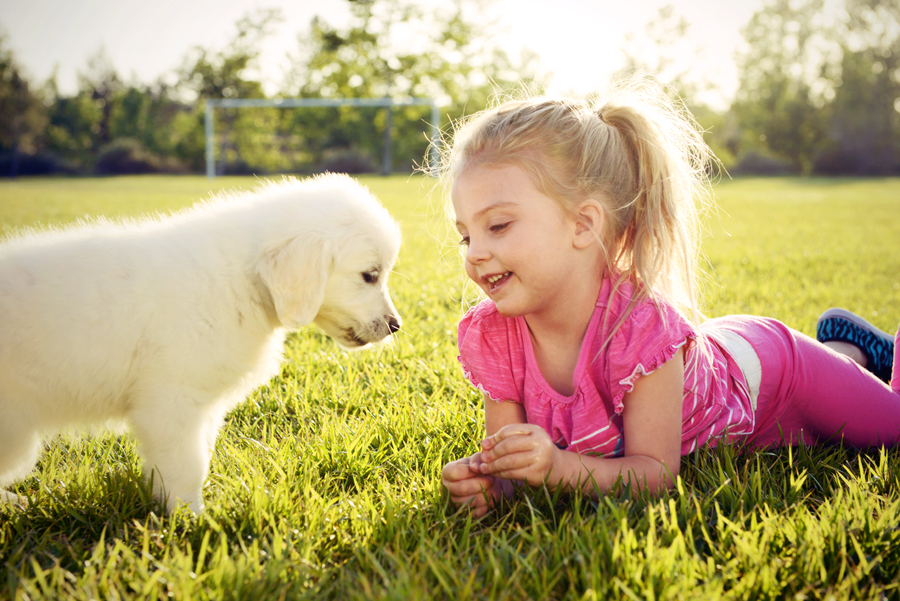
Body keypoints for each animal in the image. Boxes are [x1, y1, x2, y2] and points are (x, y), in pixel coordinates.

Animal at [0, 172, 400, 510]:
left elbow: (196, 457)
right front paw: (190, 519)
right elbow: (187, 466)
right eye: (369, 275)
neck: (239, 280)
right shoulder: (171, 401)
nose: (395, 326)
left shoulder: (201, 407)